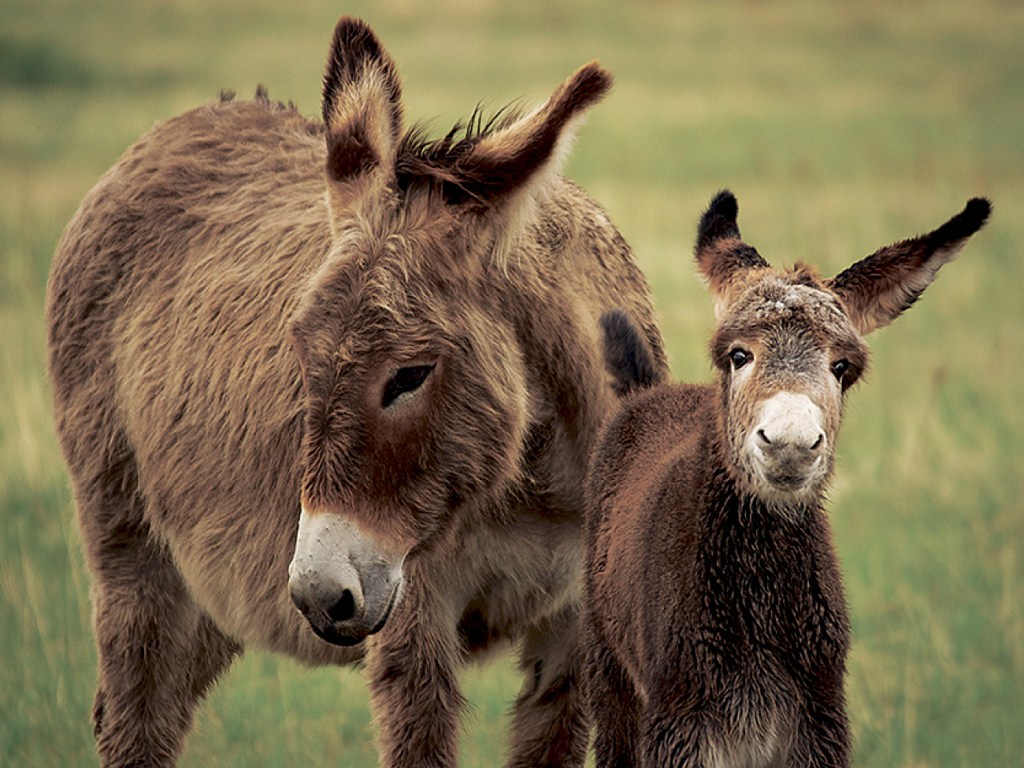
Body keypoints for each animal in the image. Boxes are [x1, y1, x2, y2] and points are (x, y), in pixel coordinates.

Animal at [585, 189, 991, 765]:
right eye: (738, 355)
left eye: (842, 368)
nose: (791, 444)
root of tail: (653, 393)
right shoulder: (679, 725)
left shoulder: (817, 722)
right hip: (611, 676)